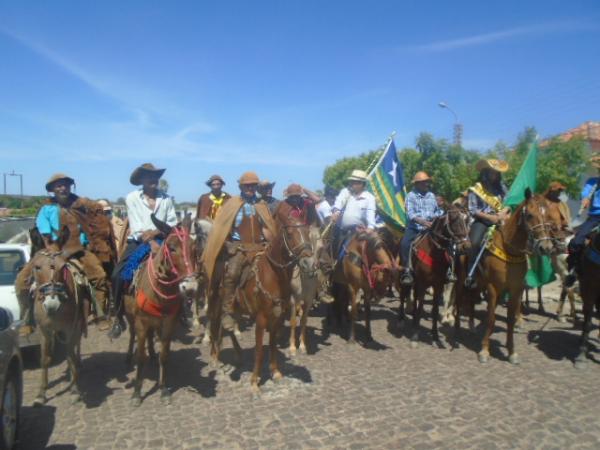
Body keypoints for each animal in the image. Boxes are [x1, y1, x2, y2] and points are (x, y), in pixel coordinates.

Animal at [30, 229, 89, 404]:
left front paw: (75, 389)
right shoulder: (44, 330)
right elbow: (45, 359)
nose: (52, 304)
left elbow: (70, 355)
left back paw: (77, 367)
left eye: (63, 267)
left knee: (75, 347)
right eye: (37, 267)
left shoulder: (71, 328)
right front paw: (41, 394)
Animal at [125, 213, 196, 406]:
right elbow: (140, 356)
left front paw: (164, 390)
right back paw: (129, 355)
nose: (190, 287)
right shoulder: (141, 323)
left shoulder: (168, 324)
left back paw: (152, 354)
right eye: (171, 248)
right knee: (132, 334)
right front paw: (136, 393)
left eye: (194, 248)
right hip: (130, 316)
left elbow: (164, 355)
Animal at [207, 202, 314, 392]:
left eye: (308, 232)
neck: (272, 275)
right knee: (216, 325)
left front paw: (276, 372)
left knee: (226, 327)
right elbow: (259, 350)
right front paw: (254, 381)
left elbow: (271, 346)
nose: (308, 263)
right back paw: (215, 356)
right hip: (216, 301)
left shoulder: (277, 318)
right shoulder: (261, 318)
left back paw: (237, 354)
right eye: (290, 233)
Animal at [400, 202, 472, 346]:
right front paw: (415, 336)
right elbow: (421, 306)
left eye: (468, 220)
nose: (466, 246)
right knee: (403, 294)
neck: (433, 253)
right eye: (454, 219)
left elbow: (434, 310)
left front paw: (435, 336)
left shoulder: (438, 284)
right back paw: (401, 320)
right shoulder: (423, 283)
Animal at [462, 188, 556, 364]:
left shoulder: (516, 289)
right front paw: (484, 350)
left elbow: (511, 319)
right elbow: (491, 319)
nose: (545, 247)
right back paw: (468, 324)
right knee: (468, 298)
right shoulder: (493, 287)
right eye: (529, 215)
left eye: (548, 216)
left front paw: (511, 351)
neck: (509, 250)